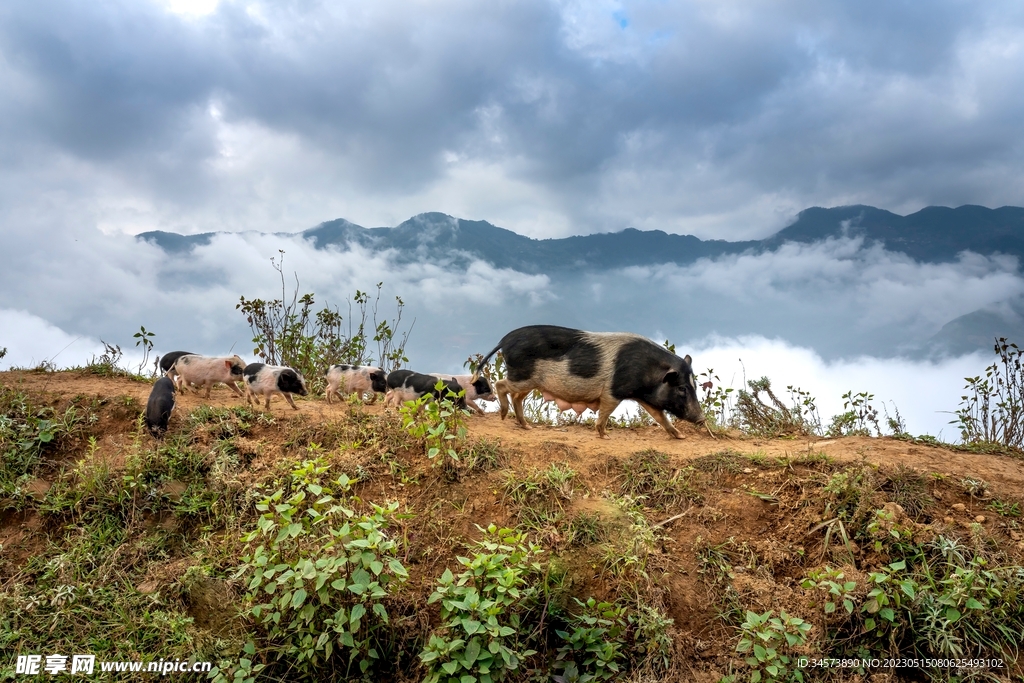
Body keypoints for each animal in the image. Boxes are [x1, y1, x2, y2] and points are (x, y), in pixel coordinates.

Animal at [477, 325, 704, 440]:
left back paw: (527, 427)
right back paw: (504, 415)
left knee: (517, 397)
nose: (701, 419)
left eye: (694, 386)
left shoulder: (645, 397)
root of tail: (504, 341)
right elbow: (605, 412)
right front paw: (605, 435)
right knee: (500, 385)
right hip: (522, 376)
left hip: (530, 382)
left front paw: (680, 436)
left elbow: (660, 416)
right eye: (682, 388)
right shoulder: (613, 391)